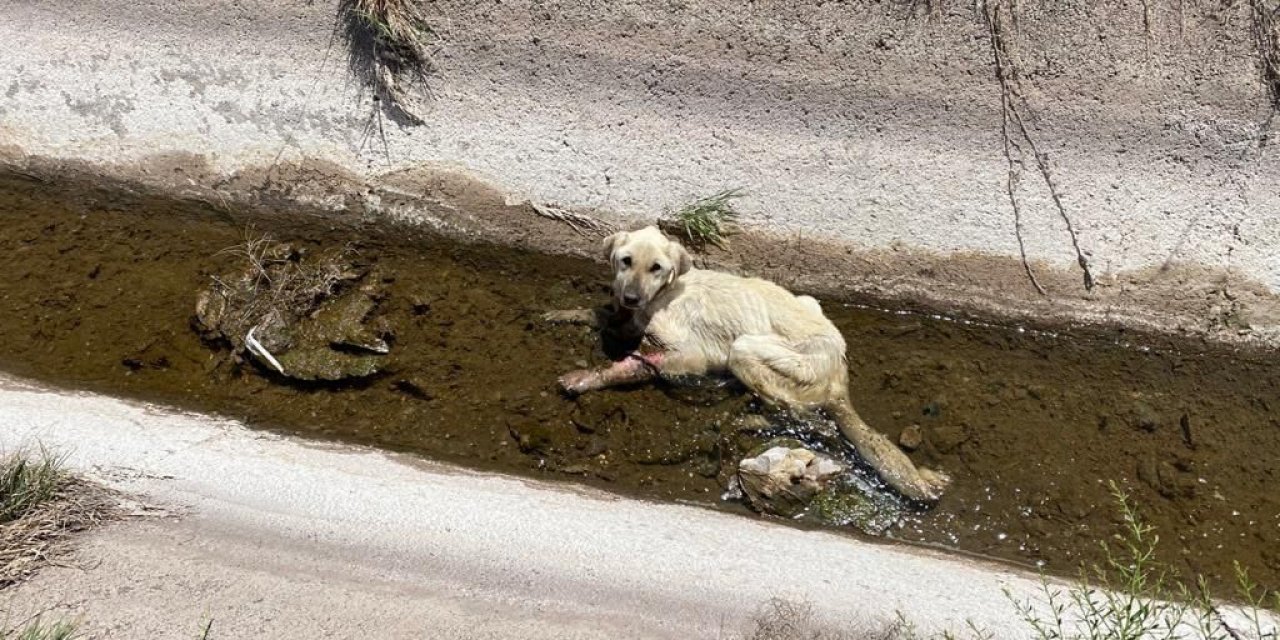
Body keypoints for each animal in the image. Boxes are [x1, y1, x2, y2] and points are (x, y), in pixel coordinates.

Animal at [542, 227, 952, 501]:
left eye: (656, 267)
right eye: (625, 261)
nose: (629, 297)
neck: (665, 293)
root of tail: (838, 374)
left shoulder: (691, 356)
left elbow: (639, 363)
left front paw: (587, 377)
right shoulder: (628, 320)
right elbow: (600, 315)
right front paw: (563, 313)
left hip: (753, 350)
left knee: (805, 416)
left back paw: (750, 419)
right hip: (806, 306)